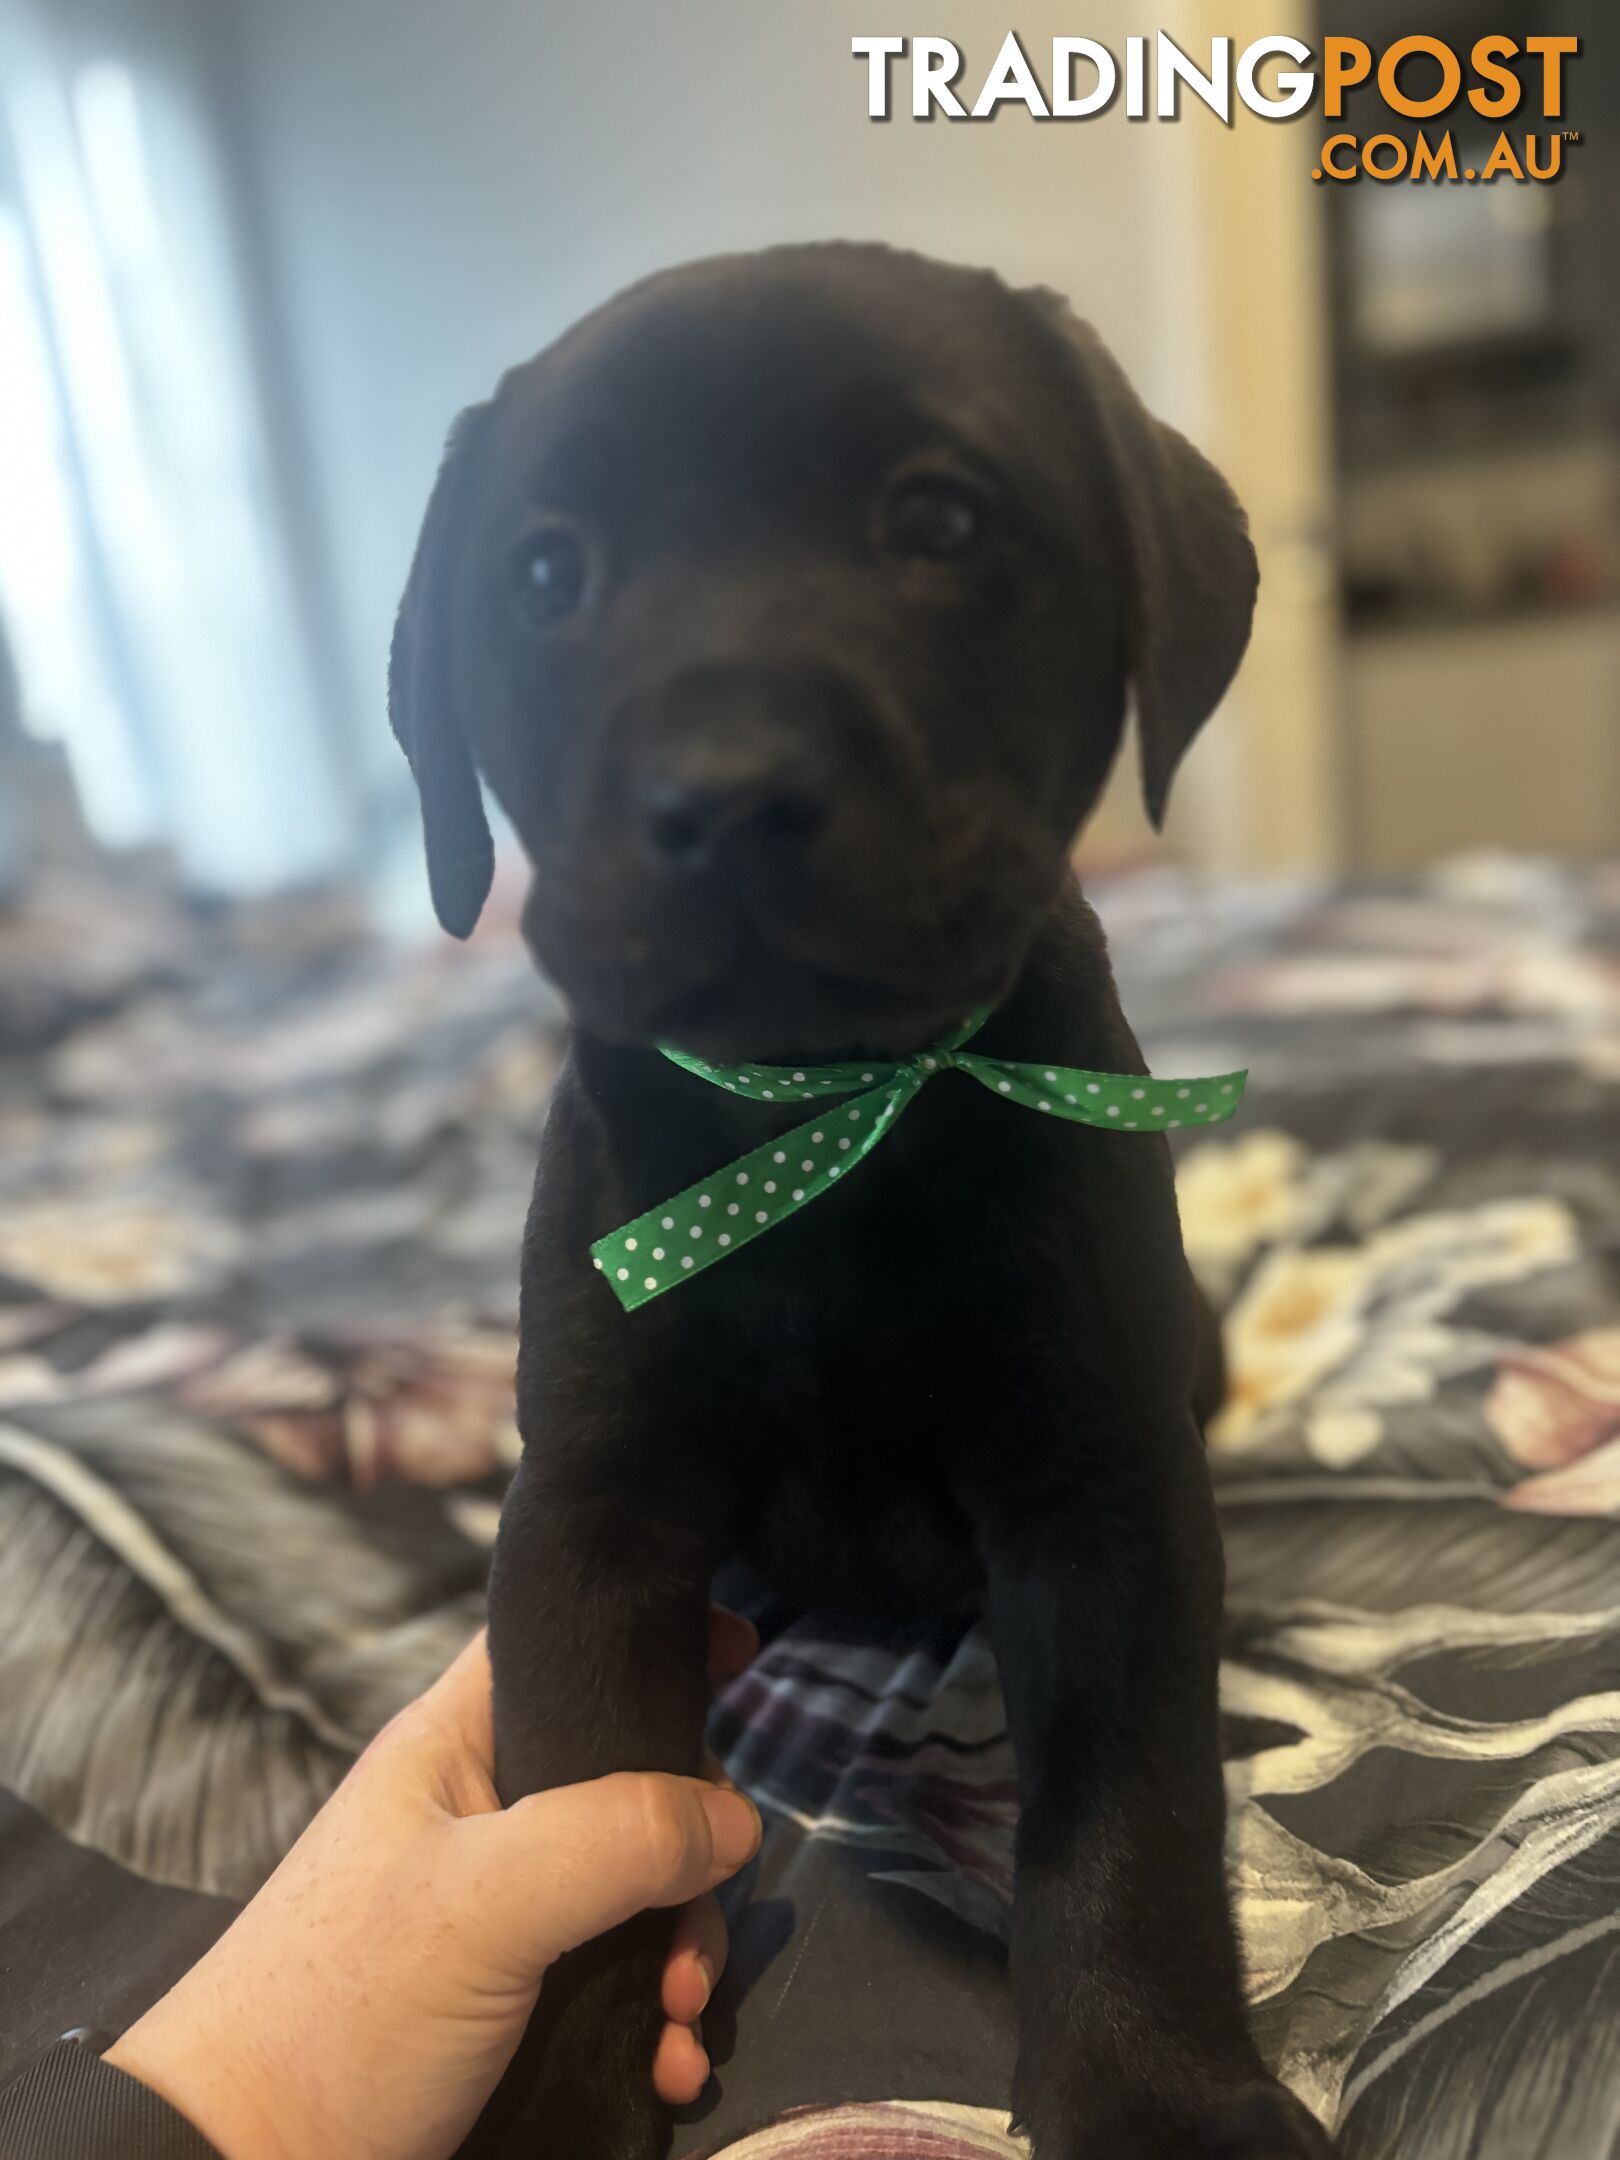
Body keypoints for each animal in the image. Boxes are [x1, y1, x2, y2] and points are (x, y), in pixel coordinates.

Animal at [397, 245, 1347, 2160]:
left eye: (940, 519)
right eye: (543, 575)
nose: (729, 787)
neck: (838, 1126)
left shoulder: (1103, 1504)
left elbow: (1129, 1822)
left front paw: (1157, 2092)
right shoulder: (593, 1515)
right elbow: (578, 1842)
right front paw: (557, 2101)